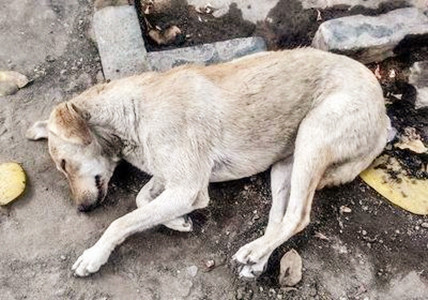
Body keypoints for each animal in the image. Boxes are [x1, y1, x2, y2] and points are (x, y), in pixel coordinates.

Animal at [25, 47, 388, 278]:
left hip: (314, 136)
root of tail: (384, 113)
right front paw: (177, 221)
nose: (81, 210)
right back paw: (257, 257)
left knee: (298, 216)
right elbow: (142, 199)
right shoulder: (174, 178)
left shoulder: (188, 187)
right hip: (285, 165)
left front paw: (94, 255)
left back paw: (254, 252)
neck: (132, 113)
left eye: (63, 164)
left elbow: (121, 221)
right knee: (280, 218)